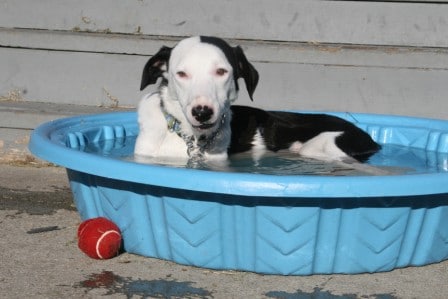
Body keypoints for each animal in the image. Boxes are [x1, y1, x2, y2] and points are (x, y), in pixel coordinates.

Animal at [135, 36, 380, 165]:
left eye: (222, 71)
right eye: (181, 74)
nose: (202, 112)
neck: (189, 137)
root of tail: (371, 139)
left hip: (321, 145)